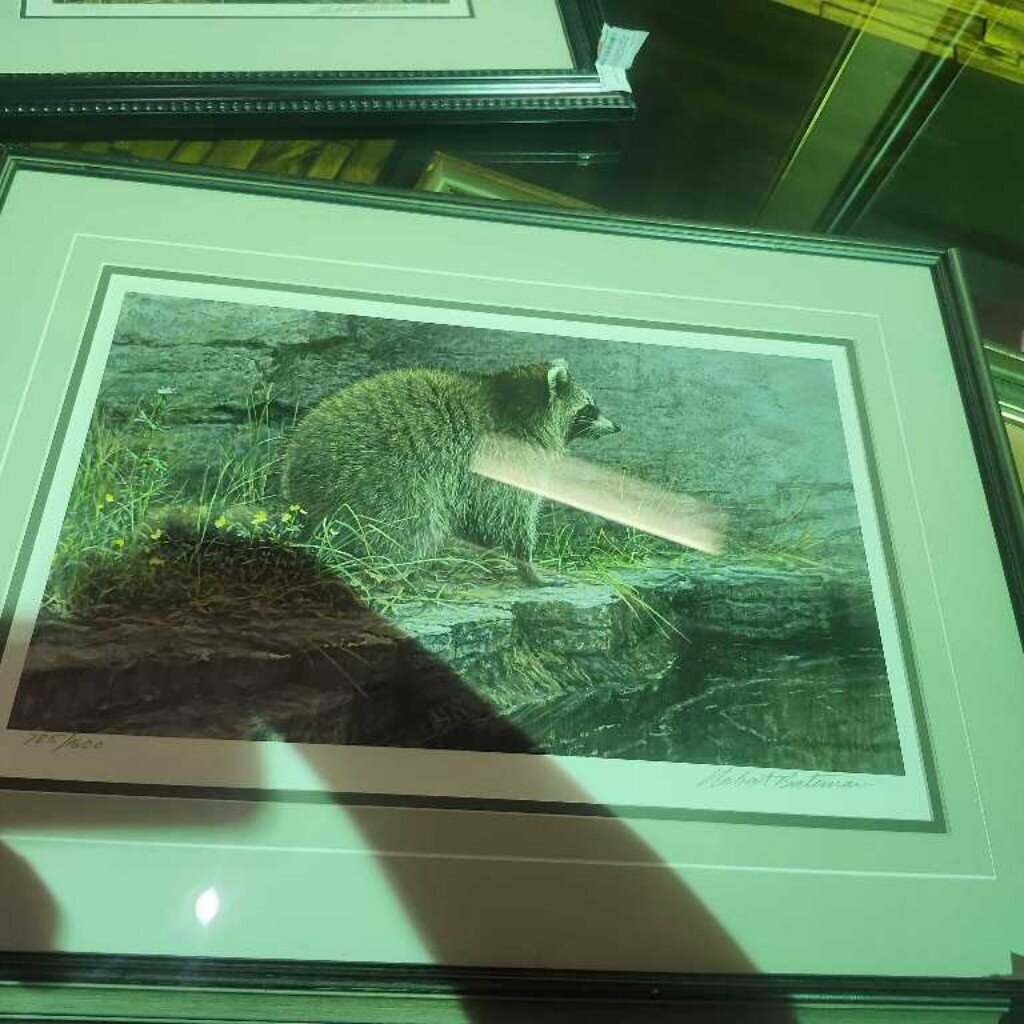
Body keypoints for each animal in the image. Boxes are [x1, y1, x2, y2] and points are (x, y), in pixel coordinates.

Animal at [280, 359, 619, 584]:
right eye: (590, 408)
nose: (618, 427)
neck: (513, 406)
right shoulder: (508, 463)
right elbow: (509, 517)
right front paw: (528, 566)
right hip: (385, 482)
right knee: (413, 524)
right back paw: (388, 569)